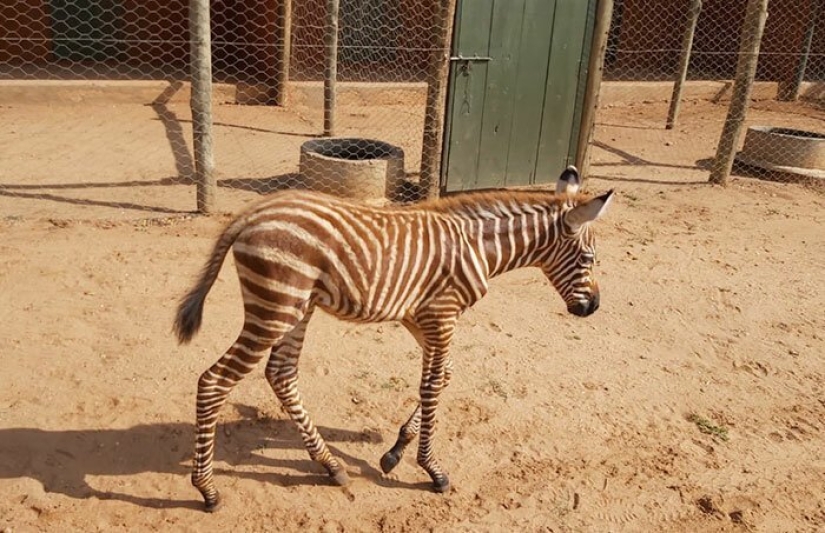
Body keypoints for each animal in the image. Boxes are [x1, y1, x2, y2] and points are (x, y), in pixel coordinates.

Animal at [174, 165, 613, 511]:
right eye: (589, 259)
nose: (592, 308)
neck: (479, 247)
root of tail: (252, 212)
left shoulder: (419, 317)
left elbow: (444, 376)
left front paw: (395, 452)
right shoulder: (441, 315)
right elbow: (433, 384)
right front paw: (432, 470)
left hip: (296, 308)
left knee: (281, 374)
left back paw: (331, 466)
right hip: (275, 309)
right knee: (214, 381)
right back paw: (207, 490)